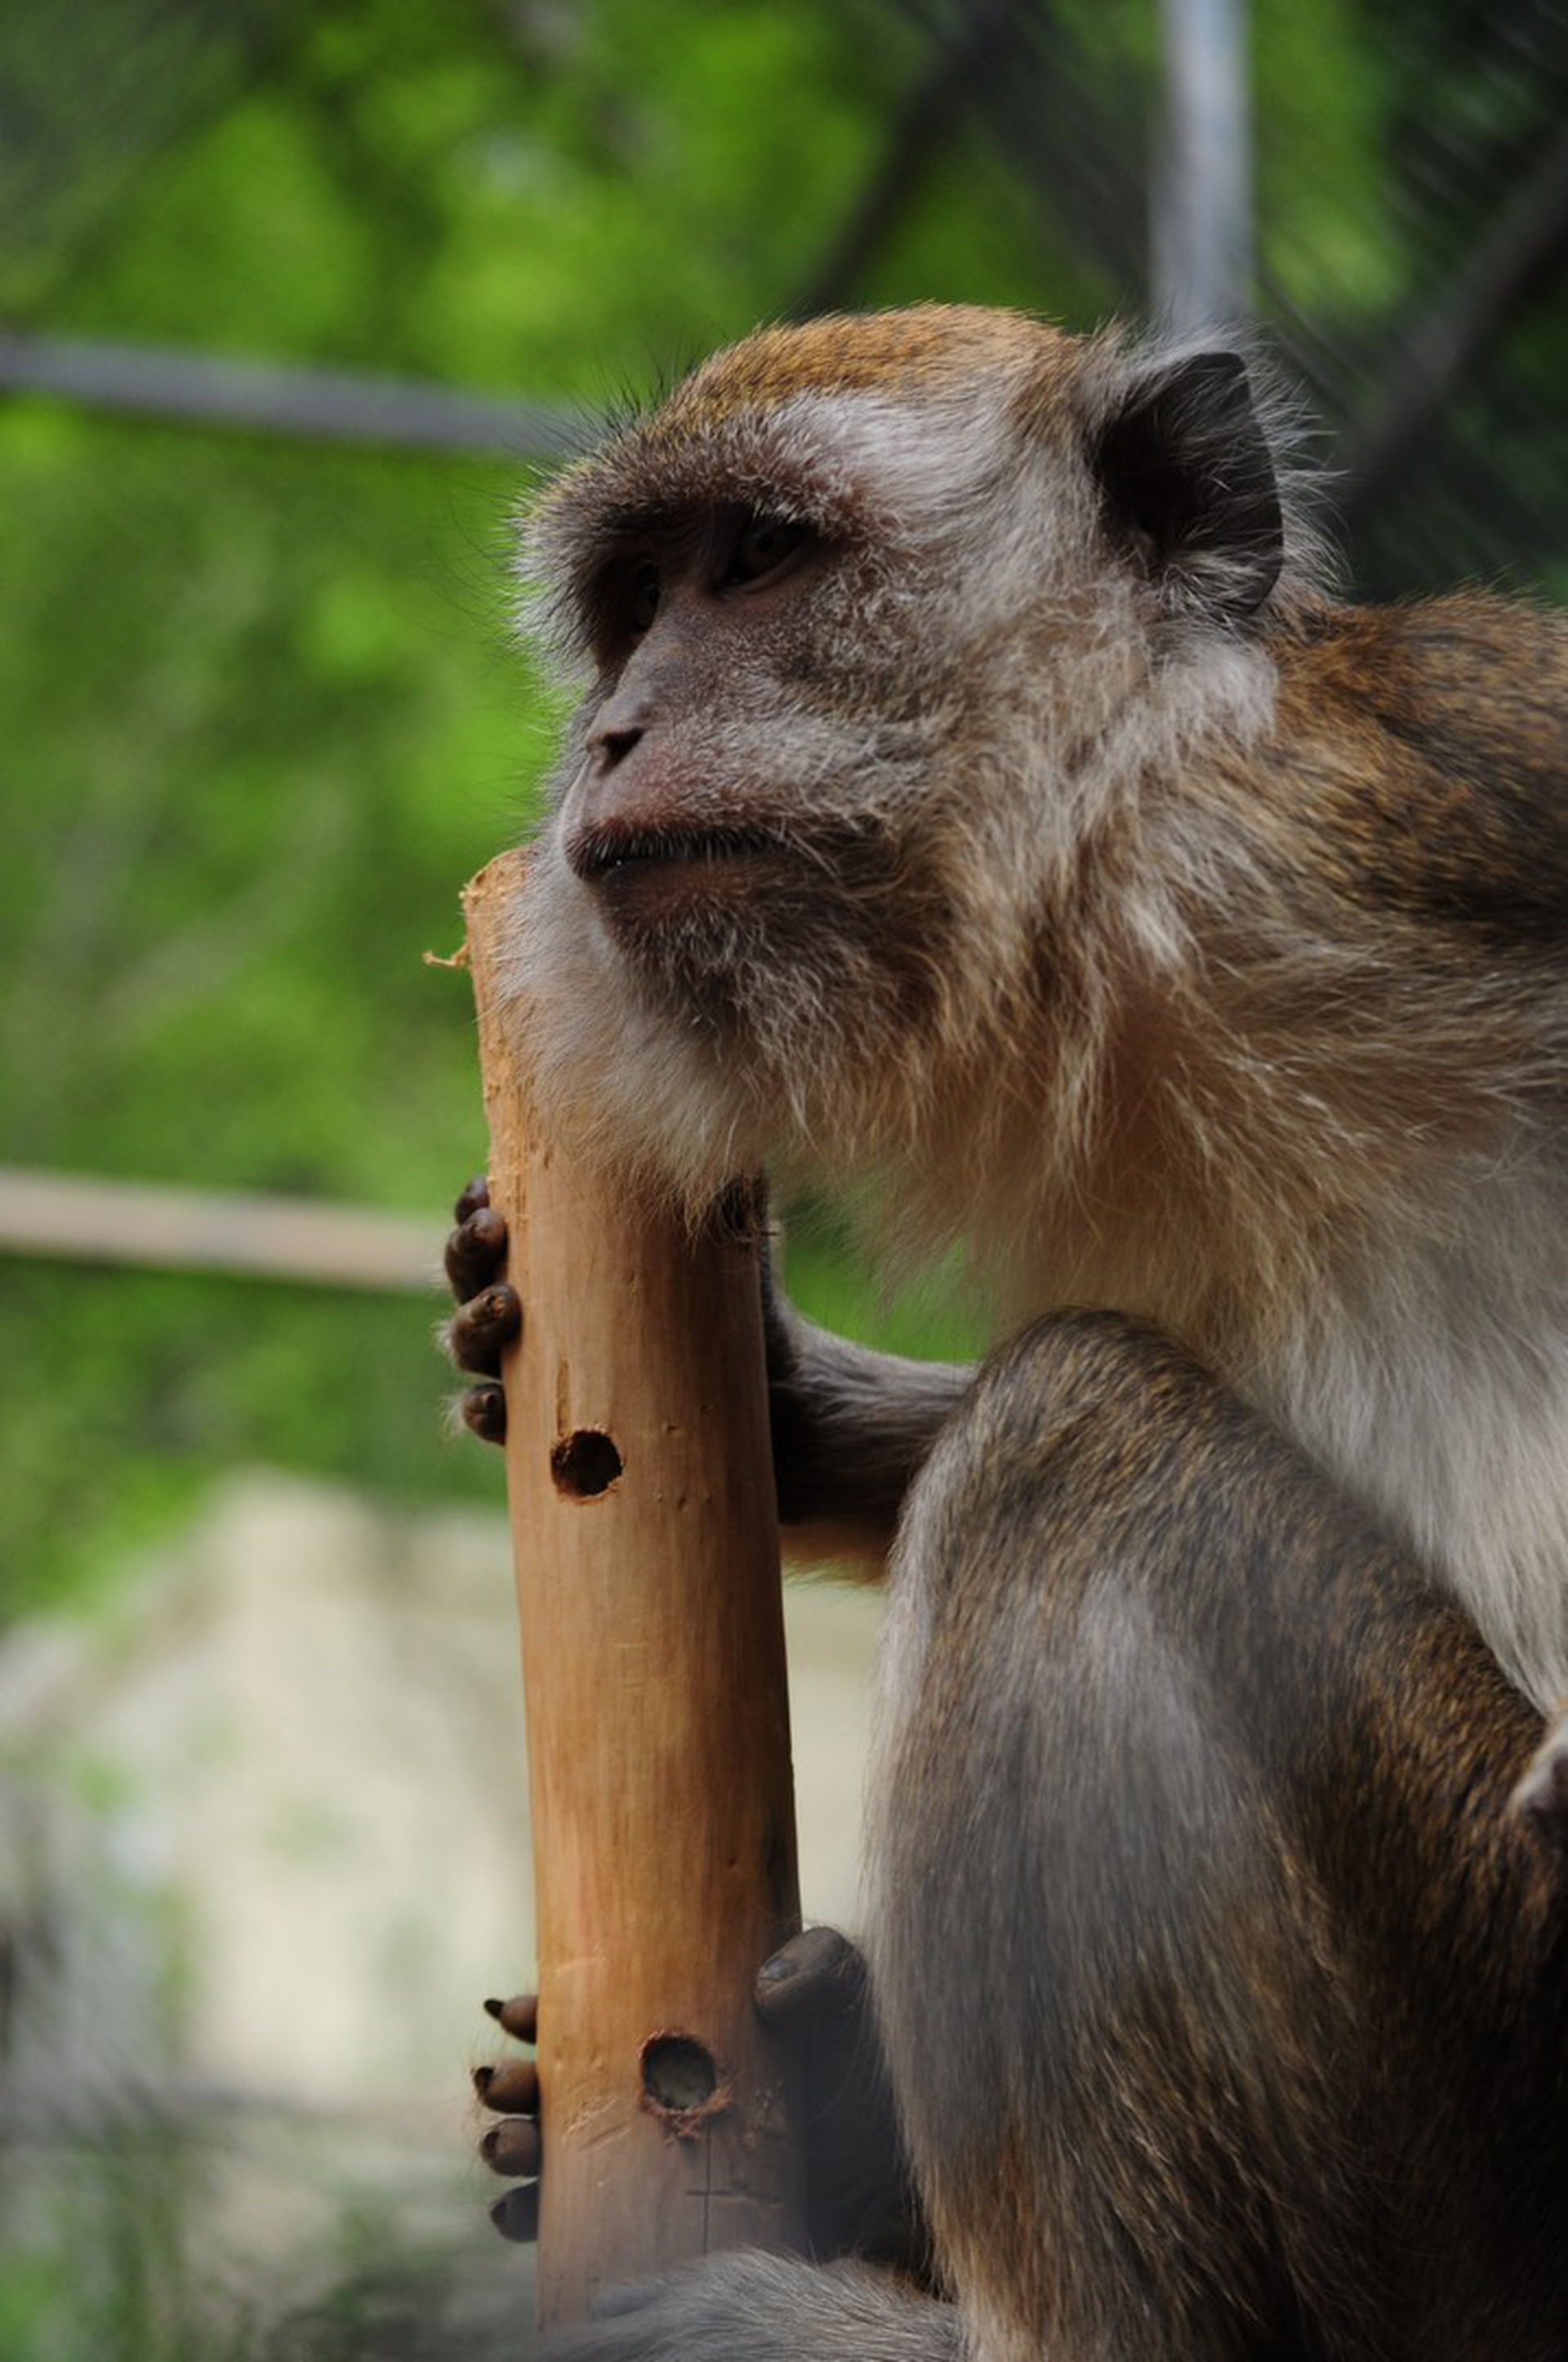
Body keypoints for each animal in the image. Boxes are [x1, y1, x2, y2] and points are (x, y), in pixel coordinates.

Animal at [447, 304, 1568, 2358]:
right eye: (633, 603)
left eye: (760, 560)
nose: (613, 734)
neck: (1128, 876)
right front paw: (771, 1401)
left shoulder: (1434, 776)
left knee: (1068, 1448)